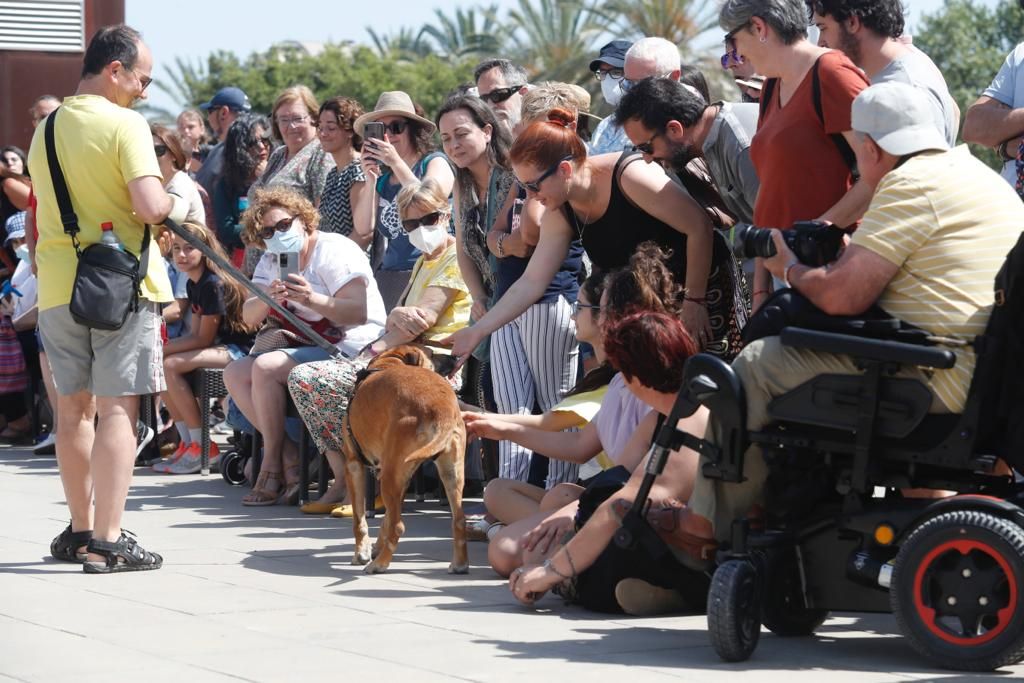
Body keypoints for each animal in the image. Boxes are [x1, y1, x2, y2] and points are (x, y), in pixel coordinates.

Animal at [339, 344, 468, 573]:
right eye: (432, 354)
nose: (454, 357)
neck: (388, 363)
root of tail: (442, 408)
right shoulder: (400, 476)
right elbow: (387, 519)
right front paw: (376, 547)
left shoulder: (353, 465)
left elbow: (360, 519)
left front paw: (362, 553)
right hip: (450, 472)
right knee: (459, 520)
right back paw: (460, 564)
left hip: (390, 476)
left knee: (399, 527)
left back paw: (379, 565)